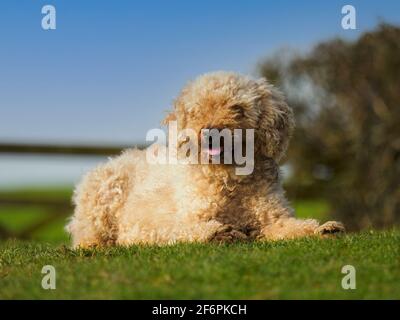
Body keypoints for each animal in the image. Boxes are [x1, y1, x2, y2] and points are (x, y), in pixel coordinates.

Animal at [65, 72, 344, 248]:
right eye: (197, 110)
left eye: (237, 109)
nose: (210, 133)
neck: (229, 178)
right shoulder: (179, 219)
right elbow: (182, 229)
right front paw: (217, 233)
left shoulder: (272, 219)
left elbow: (293, 227)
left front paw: (323, 229)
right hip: (102, 198)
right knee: (87, 238)